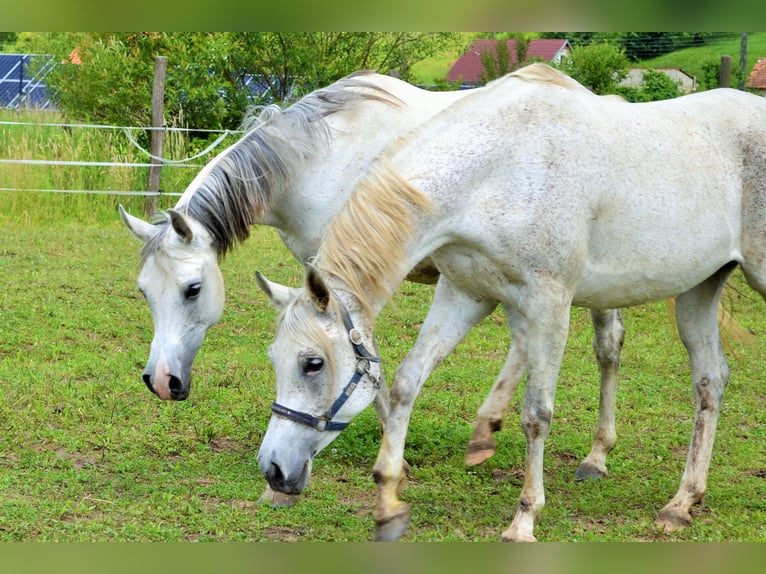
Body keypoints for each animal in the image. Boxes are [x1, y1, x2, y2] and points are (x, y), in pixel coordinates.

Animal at [118, 70, 624, 506]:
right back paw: (486, 430)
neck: (319, 158)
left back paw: (595, 458)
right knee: (524, 343)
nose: (161, 381)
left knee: (607, 346)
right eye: (144, 292)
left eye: (192, 289)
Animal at [256, 64, 766, 544]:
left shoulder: (550, 303)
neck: (497, 171)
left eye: (313, 364)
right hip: (698, 291)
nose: (273, 470)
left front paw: (524, 519)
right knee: (710, 381)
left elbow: (536, 415)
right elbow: (405, 384)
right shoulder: (465, 294)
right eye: (274, 359)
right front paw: (388, 504)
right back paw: (681, 503)